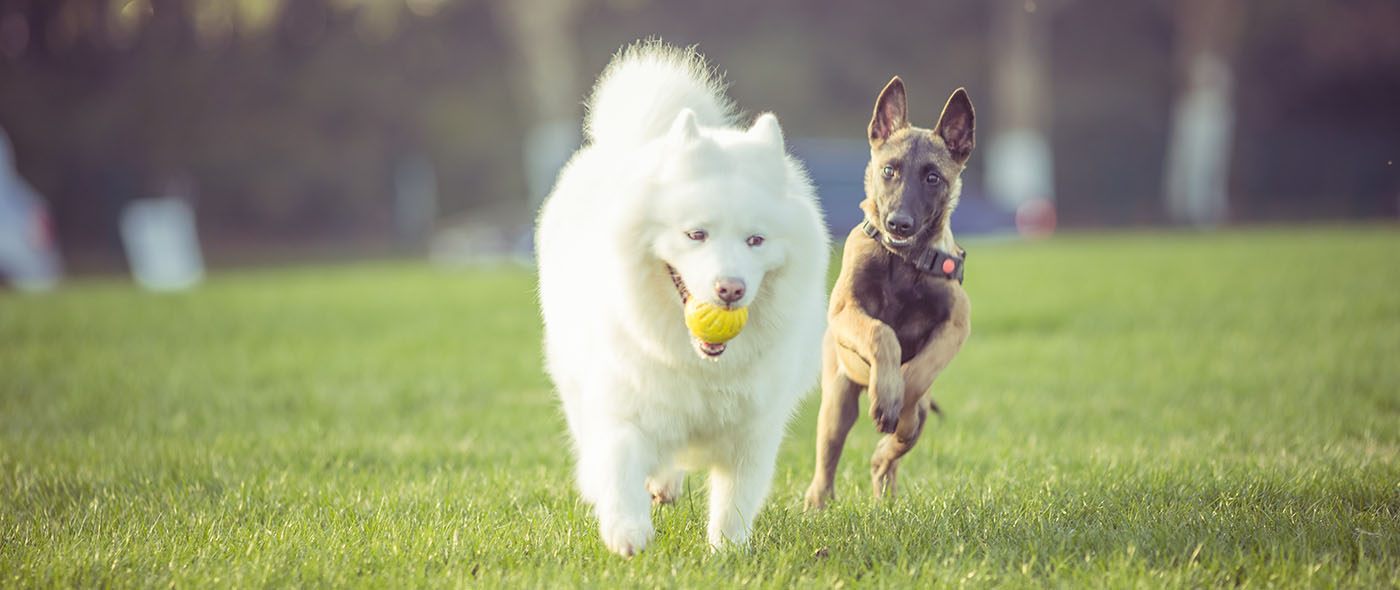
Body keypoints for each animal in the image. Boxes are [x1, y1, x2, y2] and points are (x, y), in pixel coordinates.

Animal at [532, 40, 817, 552]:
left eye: (756, 240)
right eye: (696, 234)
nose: (730, 289)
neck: (699, 366)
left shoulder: (753, 433)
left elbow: (734, 503)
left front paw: (727, 553)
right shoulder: (622, 405)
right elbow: (619, 464)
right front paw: (627, 531)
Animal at [806, 76, 980, 507]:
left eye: (933, 178)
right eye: (889, 170)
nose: (899, 224)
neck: (904, 262)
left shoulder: (956, 325)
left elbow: (917, 374)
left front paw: (897, 404)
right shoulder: (846, 311)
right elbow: (881, 333)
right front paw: (887, 393)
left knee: (889, 455)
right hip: (837, 401)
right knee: (827, 458)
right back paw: (817, 505)